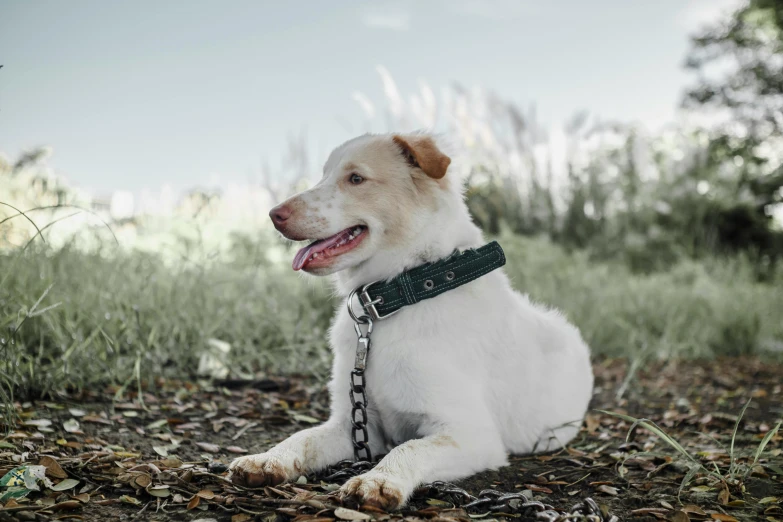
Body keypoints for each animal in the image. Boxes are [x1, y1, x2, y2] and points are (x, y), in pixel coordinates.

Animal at [228, 131, 596, 508]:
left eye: (356, 178)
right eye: (324, 176)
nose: (274, 214)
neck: (393, 303)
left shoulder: (471, 434)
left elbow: (409, 448)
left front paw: (378, 480)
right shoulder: (357, 424)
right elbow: (303, 436)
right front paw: (269, 458)